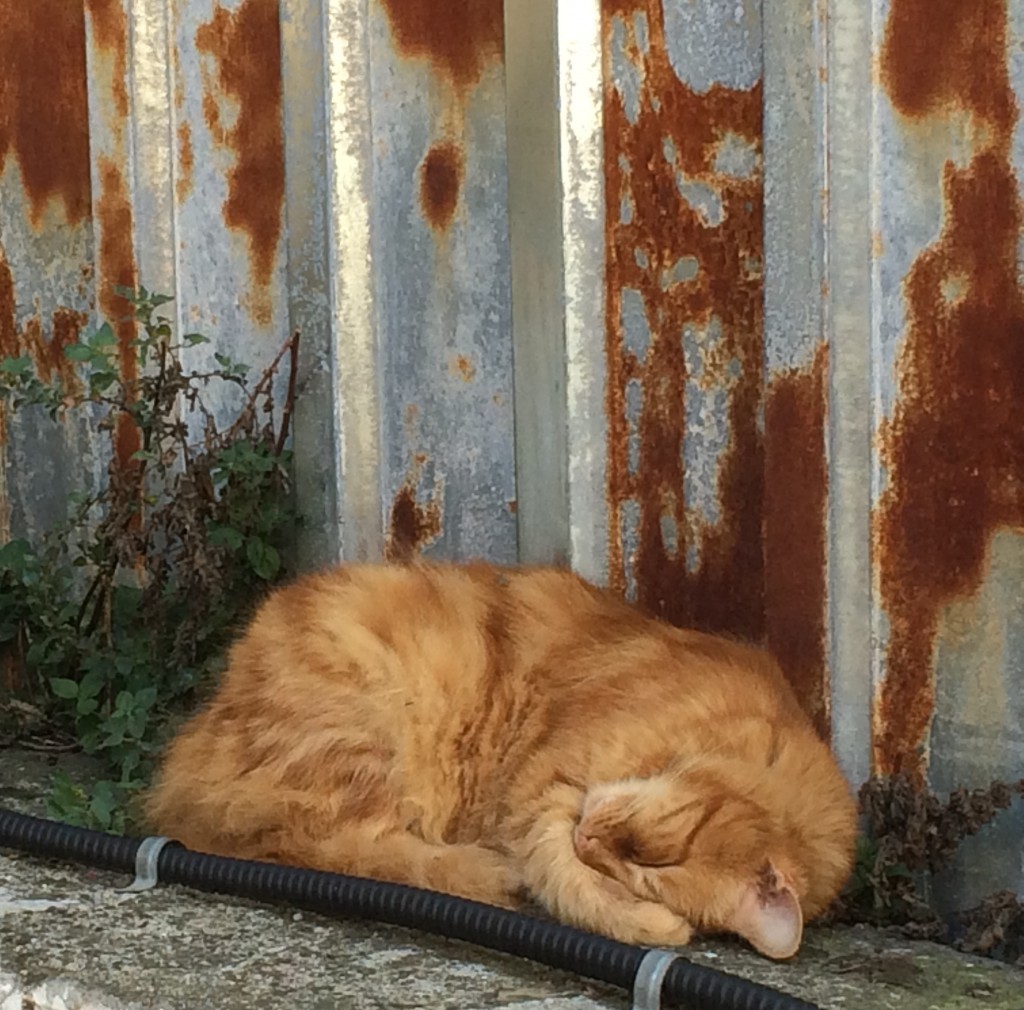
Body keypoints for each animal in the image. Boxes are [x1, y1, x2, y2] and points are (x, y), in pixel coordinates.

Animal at [146, 561, 856, 958]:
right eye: (658, 850)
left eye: (643, 871)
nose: (593, 833)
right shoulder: (546, 791)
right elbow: (558, 871)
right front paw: (652, 927)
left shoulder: (562, 794)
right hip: (365, 733)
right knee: (329, 848)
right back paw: (487, 873)